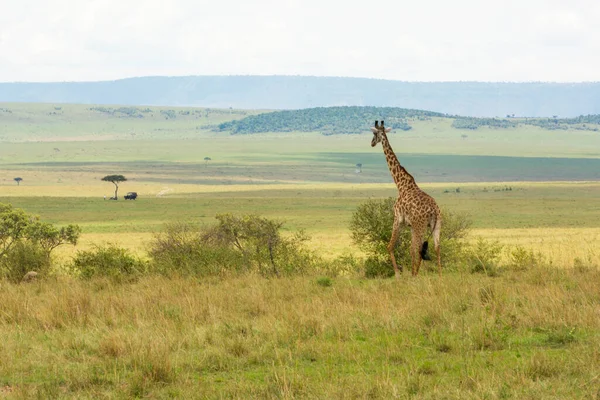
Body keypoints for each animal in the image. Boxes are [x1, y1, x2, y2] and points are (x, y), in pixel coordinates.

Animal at [370, 120, 440, 276]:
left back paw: (415, 275)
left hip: (420, 225)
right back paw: (439, 276)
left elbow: (391, 246)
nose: (371, 143)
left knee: (418, 248)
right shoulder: (410, 225)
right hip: (436, 225)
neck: (401, 184)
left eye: (374, 134)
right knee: (437, 248)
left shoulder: (398, 219)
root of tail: (434, 210)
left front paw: (398, 274)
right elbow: (410, 249)